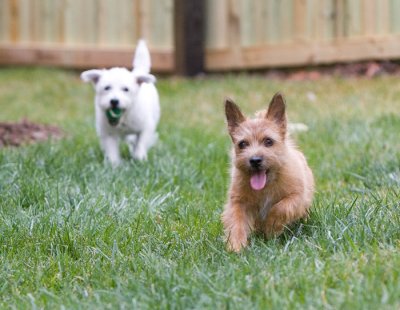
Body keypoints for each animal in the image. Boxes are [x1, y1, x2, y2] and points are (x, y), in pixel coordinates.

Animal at [223, 92, 314, 252]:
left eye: (268, 141)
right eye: (242, 144)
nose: (255, 160)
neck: (266, 185)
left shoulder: (298, 196)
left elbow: (281, 207)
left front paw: (272, 226)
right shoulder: (238, 202)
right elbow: (236, 222)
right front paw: (236, 245)